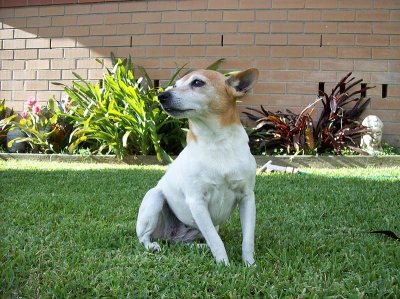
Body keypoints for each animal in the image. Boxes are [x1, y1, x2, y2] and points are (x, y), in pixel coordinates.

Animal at [136, 68, 258, 268]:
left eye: (198, 83)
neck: (217, 144)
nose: (161, 96)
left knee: (187, 242)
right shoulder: (197, 202)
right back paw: (153, 246)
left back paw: (200, 247)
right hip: (155, 198)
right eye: (176, 85)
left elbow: (247, 238)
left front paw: (250, 264)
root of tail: (170, 235)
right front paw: (224, 265)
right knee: (144, 237)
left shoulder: (247, 198)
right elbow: (216, 241)